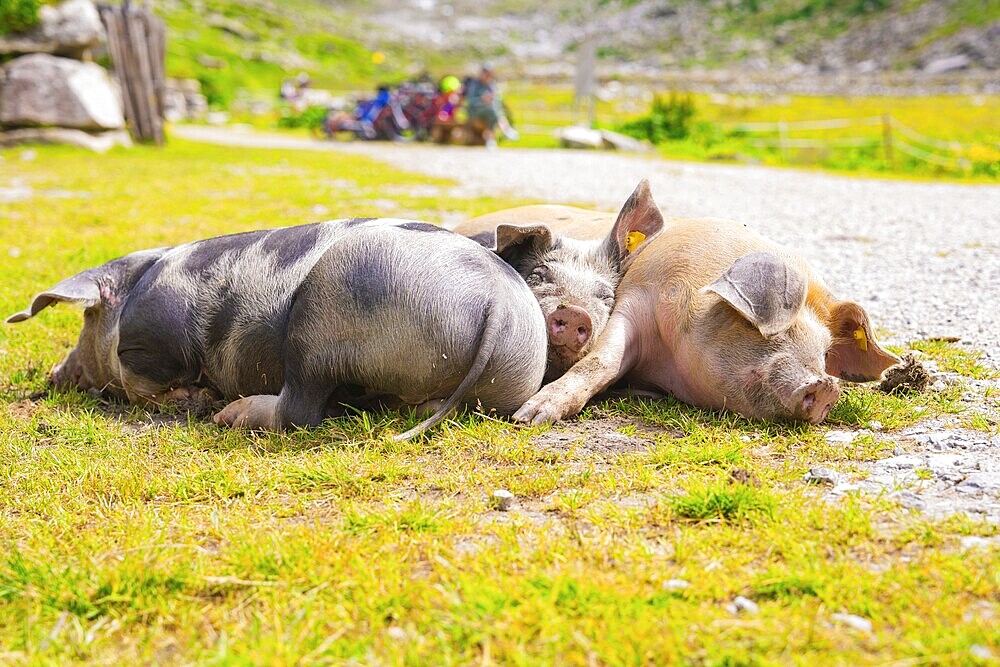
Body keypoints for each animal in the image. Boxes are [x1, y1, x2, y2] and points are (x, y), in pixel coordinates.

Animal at [7, 217, 548, 440]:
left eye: (86, 318)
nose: (55, 374)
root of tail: (498, 300)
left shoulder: (150, 349)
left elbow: (151, 384)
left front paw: (195, 400)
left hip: (322, 314)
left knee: (300, 412)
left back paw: (228, 415)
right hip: (499, 379)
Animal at [504, 193, 904, 426]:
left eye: (824, 353)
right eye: (776, 328)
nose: (825, 387)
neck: (668, 365)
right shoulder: (635, 300)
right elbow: (599, 362)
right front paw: (530, 418)